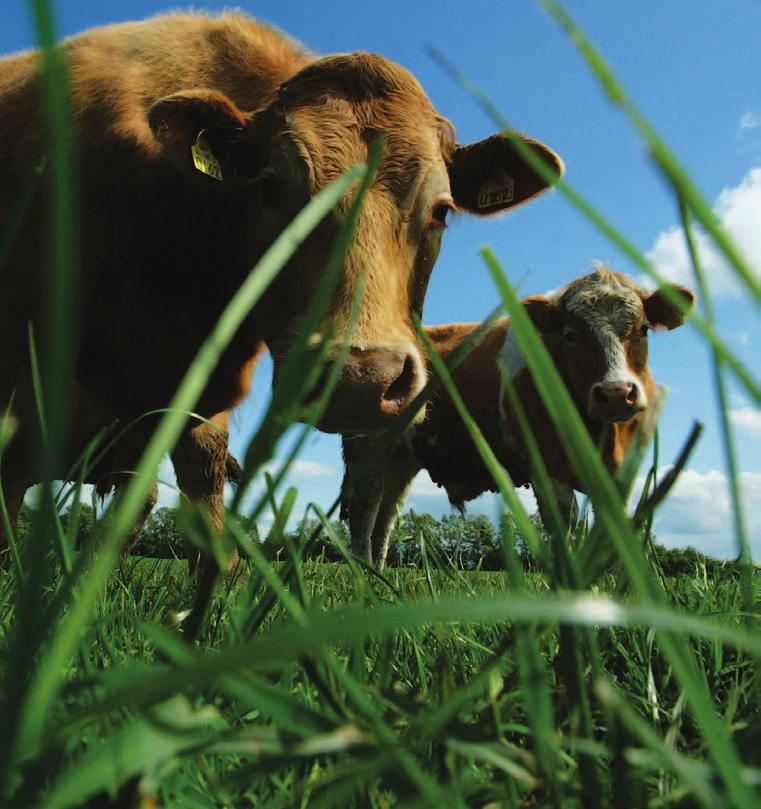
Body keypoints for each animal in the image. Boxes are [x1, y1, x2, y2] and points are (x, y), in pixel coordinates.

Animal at [342, 268, 696, 564]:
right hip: (368, 448)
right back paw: (366, 574)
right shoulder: (548, 467)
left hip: (403, 458)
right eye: (570, 334)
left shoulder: (620, 473)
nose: (616, 393)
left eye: (643, 330)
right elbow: (565, 523)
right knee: (365, 511)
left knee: (386, 516)